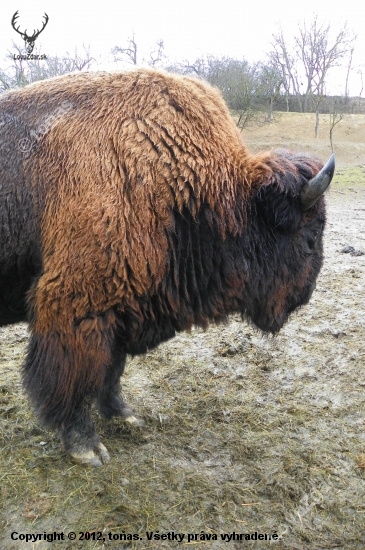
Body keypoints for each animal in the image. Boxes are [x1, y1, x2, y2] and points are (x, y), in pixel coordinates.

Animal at [0, 68, 334, 466]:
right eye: (309, 236)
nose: (305, 295)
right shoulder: (78, 306)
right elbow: (75, 375)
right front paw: (86, 447)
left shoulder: (124, 305)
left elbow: (112, 370)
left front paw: (125, 415)